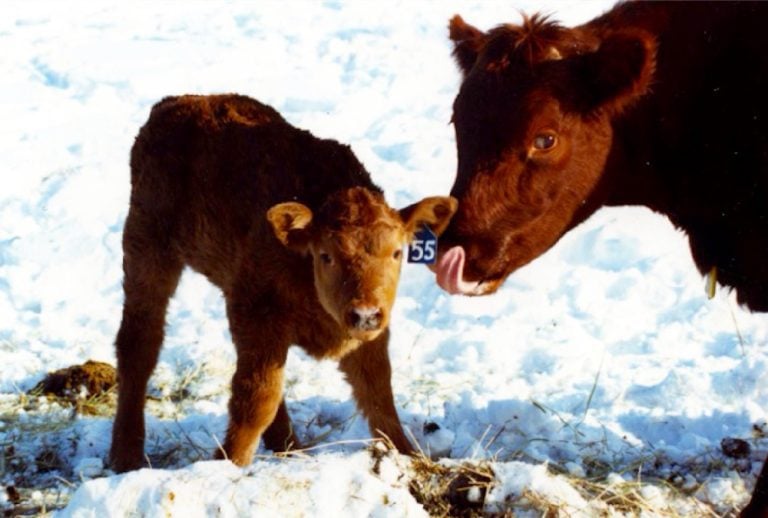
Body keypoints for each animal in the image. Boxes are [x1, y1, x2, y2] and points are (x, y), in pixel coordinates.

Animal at [108, 93, 457, 473]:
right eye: (326, 255)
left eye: (396, 252)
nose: (365, 314)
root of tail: (176, 103)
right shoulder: (257, 313)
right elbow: (257, 397)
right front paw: (228, 464)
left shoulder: (368, 333)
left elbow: (377, 392)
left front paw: (408, 456)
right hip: (147, 249)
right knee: (139, 342)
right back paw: (126, 456)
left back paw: (289, 446)